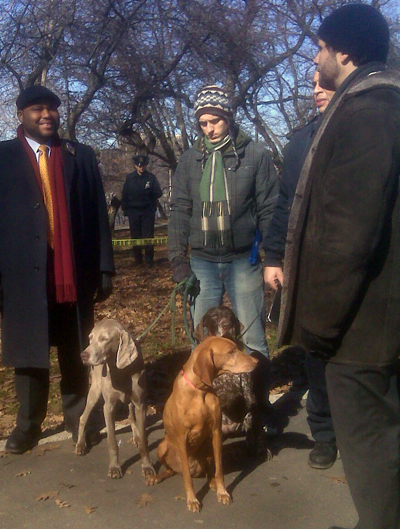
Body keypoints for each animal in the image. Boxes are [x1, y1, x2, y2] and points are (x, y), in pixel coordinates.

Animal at [75, 318, 155, 478]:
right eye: (90, 338)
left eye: (104, 339)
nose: (83, 355)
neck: (120, 371)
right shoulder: (108, 407)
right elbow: (112, 441)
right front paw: (114, 468)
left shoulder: (140, 404)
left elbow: (144, 440)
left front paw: (147, 466)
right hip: (95, 392)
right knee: (83, 417)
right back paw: (80, 445)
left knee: (131, 416)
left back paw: (136, 435)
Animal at [146, 336, 256, 510]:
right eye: (230, 352)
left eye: (236, 348)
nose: (256, 361)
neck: (199, 391)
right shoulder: (181, 439)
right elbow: (187, 479)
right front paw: (192, 500)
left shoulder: (217, 431)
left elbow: (219, 470)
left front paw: (222, 491)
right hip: (162, 446)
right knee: (172, 471)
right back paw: (156, 477)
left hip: (209, 447)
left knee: (209, 472)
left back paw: (212, 483)